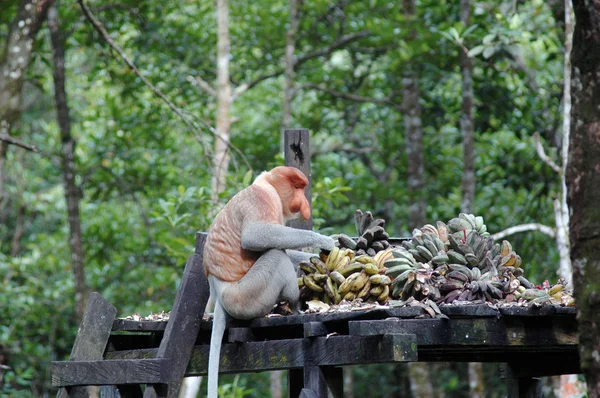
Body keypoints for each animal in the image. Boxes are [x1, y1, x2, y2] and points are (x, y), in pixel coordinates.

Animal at [202, 166, 332, 396]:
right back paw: (295, 307)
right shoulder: (262, 199)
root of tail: (218, 292)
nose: (303, 203)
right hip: (245, 296)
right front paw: (325, 240)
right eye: (297, 187)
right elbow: (256, 236)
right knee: (276, 256)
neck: (267, 184)